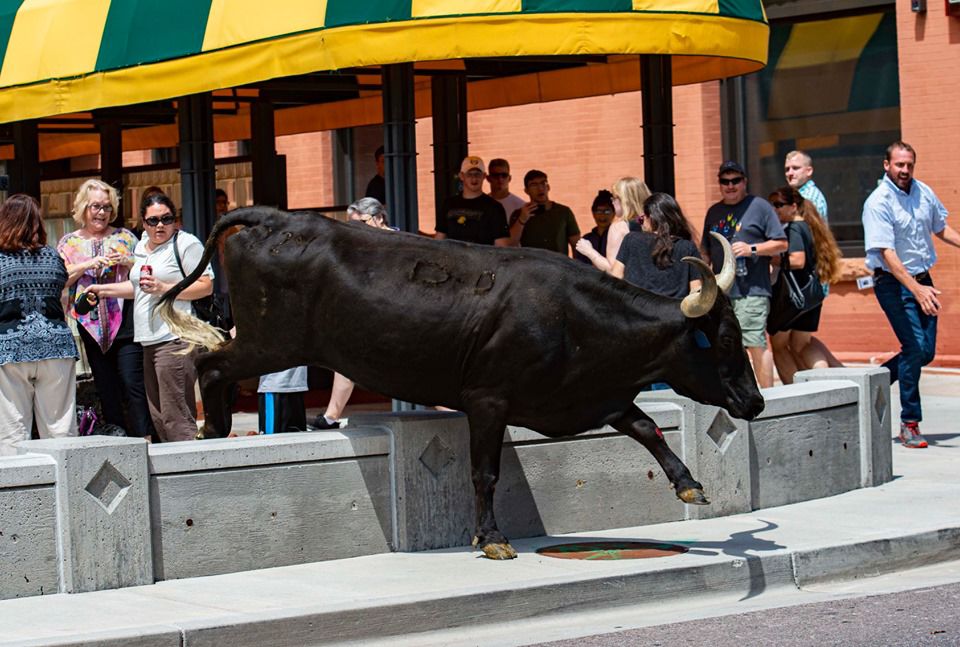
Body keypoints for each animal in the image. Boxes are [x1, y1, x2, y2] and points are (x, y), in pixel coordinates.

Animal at [159, 207, 764, 560]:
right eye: (723, 342)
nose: (754, 401)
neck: (576, 319)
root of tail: (272, 218)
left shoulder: (594, 397)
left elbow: (646, 429)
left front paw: (689, 483)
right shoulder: (488, 399)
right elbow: (484, 471)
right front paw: (491, 538)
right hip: (271, 340)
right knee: (210, 363)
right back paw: (210, 431)